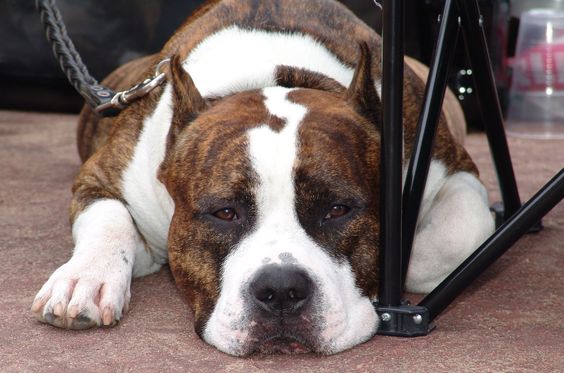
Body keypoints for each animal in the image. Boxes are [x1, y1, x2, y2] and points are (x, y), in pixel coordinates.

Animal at [33, 0, 496, 354]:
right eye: (224, 213)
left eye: (338, 210)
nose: (281, 290)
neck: (274, 72)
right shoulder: (101, 177)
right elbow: (108, 218)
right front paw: (86, 279)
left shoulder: (453, 169)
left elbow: (457, 234)